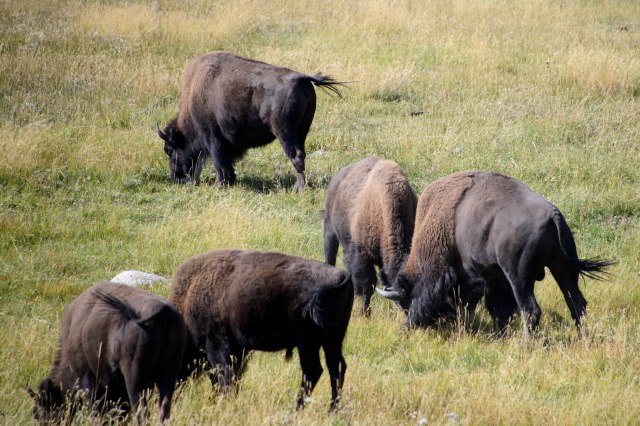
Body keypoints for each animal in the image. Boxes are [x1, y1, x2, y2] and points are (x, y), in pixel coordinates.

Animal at [28, 282, 186, 424]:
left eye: (44, 408)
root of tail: (163, 311)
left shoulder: (87, 376)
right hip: (168, 376)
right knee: (163, 411)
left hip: (134, 379)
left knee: (142, 413)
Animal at [157, 51, 344, 192]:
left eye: (169, 149)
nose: (175, 177)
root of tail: (300, 77)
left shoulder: (213, 139)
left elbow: (219, 163)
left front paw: (221, 185)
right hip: (302, 131)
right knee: (301, 155)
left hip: (284, 132)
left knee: (296, 157)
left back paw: (298, 189)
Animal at [170, 249, 354, 410]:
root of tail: (342, 276)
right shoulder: (238, 350)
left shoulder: (217, 344)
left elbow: (225, 376)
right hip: (332, 339)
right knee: (336, 368)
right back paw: (332, 410)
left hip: (308, 342)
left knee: (313, 371)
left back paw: (296, 409)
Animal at [323, 156, 417, 315]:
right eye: (403, 300)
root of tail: (337, 178)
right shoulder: (361, 256)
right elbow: (367, 287)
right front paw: (364, 313)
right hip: (330, 230)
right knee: (330, 257)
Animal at [378, 171, 614, 337]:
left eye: (407, 301)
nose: (413, 324)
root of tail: (553, 215)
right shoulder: (494, 280)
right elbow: (499, 309)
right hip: (563, 269)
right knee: (576, 304)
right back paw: (583, 339)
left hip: (520, 279)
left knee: (531, 310)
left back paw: (526, 345)